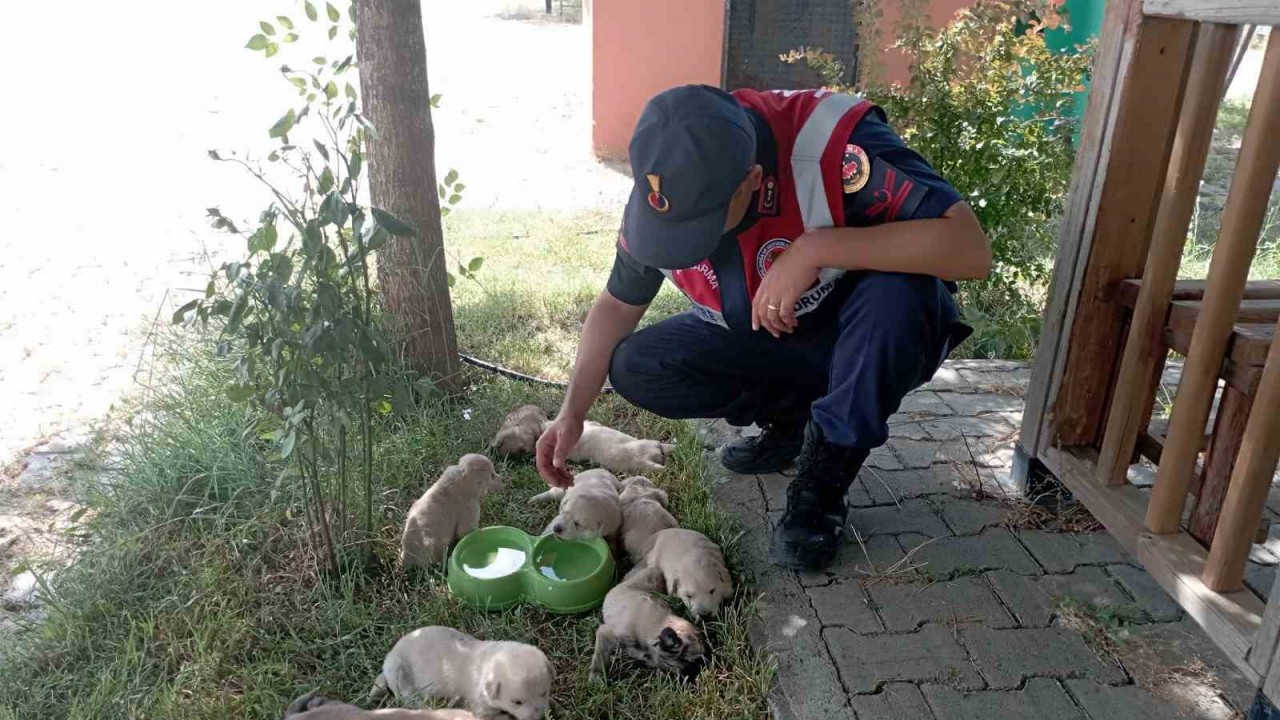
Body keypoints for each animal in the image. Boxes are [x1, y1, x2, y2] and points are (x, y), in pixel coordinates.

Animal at [368, 622, 552, 717]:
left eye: (544, 693)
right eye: (517, 702)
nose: (540, 717)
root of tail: (389, 658)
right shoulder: (479, 704)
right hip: (401, 675)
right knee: (410, 698)